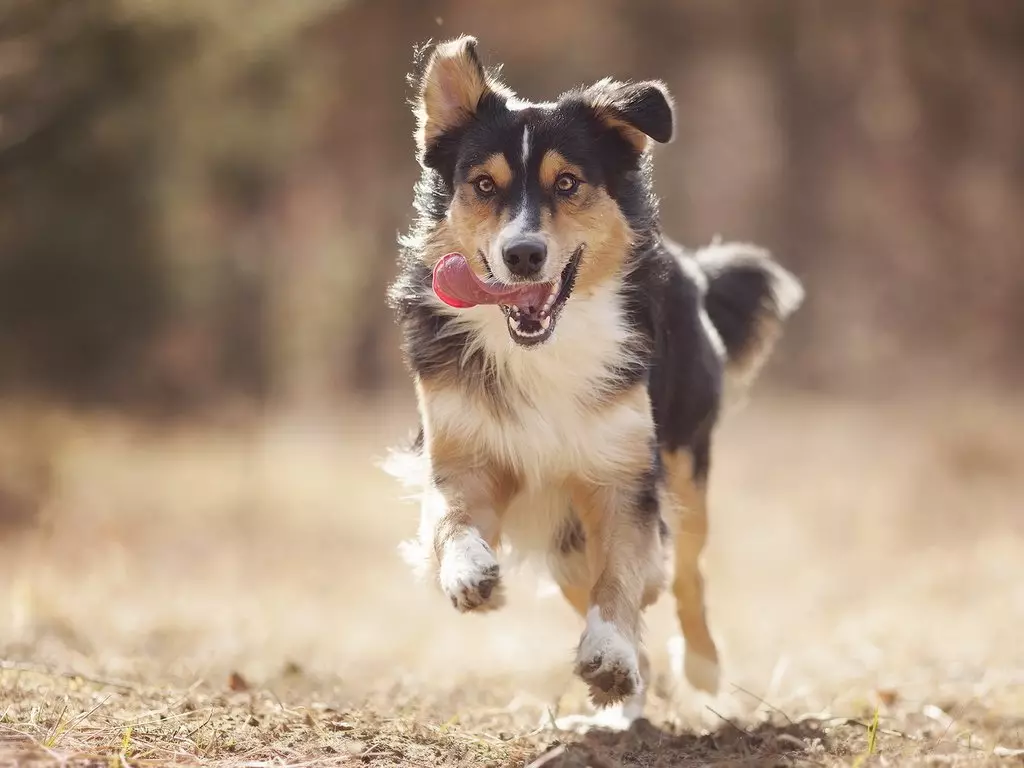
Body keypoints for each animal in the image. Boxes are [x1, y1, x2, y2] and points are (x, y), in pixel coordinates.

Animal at [387, 34, 802, 720]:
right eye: (483, 184)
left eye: (567, 182)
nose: (523, 254)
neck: (545, 347)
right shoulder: (462, 448)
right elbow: (452, 516)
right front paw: (468, 572)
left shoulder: (623, 473)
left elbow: (624, 575)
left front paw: (608, 651)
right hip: (563, 536)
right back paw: (628, 697)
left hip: (683, 465)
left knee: (686, 573)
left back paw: (699, 666)